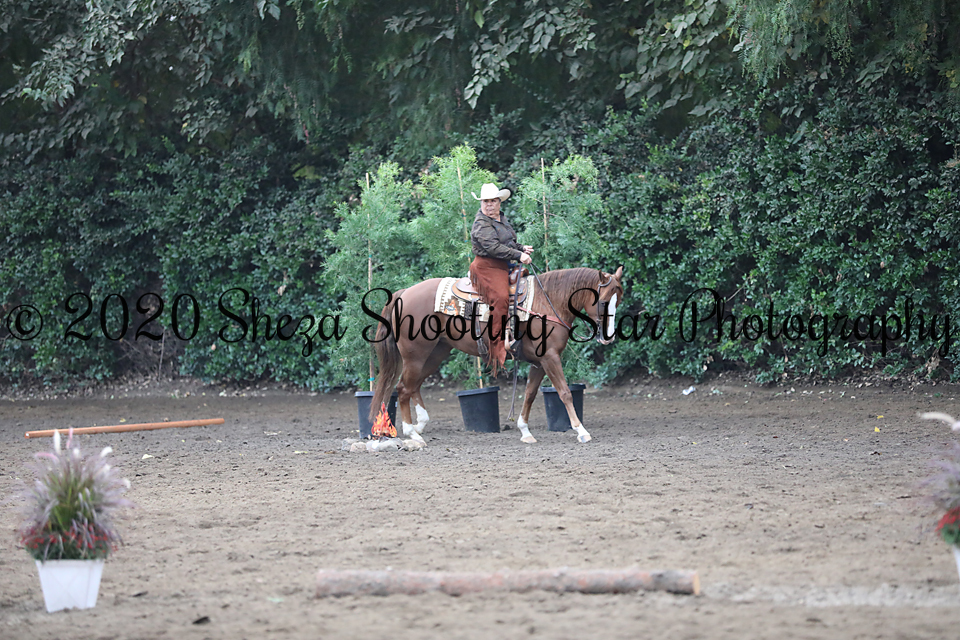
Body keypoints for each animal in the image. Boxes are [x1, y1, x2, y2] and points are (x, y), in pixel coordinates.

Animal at [368, 266, 624, 444]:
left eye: (618, 301)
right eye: (603, 302)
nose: (608, 337)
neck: (548, 301)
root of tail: (403, 294)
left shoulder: (539, 362)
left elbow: (530, 394)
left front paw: (525, 431)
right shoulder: (550, 357)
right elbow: (564, 393)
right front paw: (581, 431)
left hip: (435, 354)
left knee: (414, 387)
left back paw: (420, 425)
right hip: (416, 355)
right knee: (403, 388)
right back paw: (413, 434)